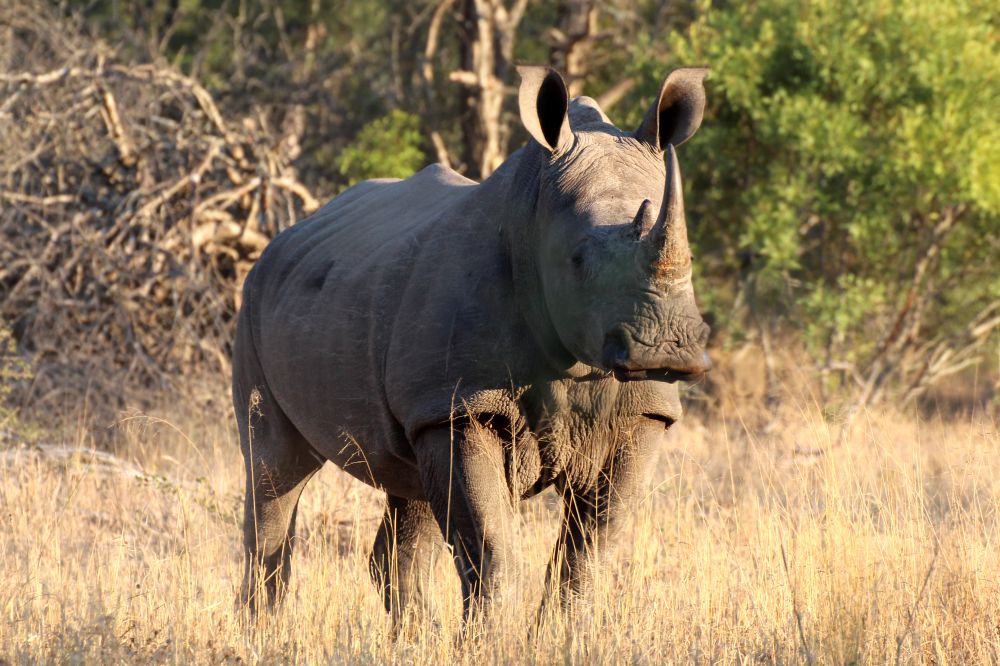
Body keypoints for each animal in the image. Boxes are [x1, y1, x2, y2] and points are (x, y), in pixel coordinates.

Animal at [232, 65, 712, 620]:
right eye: (577, 261)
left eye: (691, 256)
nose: (667, 349)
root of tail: (280, 241)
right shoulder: (461, 406)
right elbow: (491, 548)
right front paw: (490, 633)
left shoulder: (643, 412)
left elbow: (590, 553)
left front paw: (563, 632)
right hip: (254, 305)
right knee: (275, 471)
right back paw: (264, 627)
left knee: (407, 491)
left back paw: (412, 633)